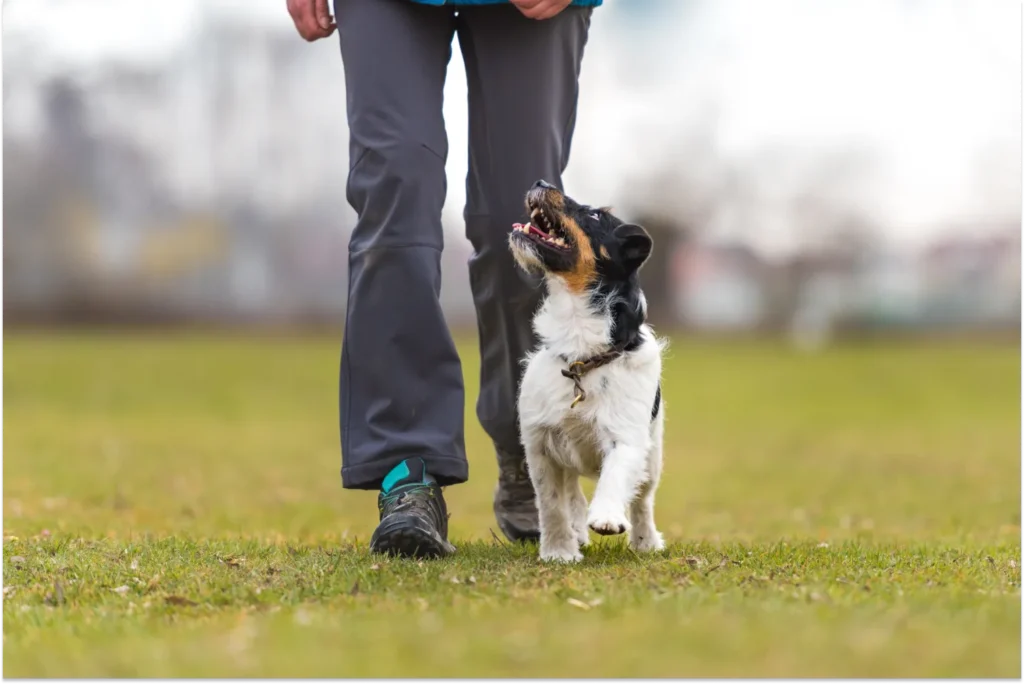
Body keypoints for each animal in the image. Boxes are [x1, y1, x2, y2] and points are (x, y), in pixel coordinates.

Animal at [509, 180, 667, 561]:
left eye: (595, 216)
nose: (541, 183)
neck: (582, 354)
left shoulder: (627, 437)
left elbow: (616, 477)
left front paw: (607, 517)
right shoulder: (540, 445)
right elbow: (552, 504)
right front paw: (558, 551)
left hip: (653, 453)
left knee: (643, 501)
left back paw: (645, 542)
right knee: (572, 494)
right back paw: (578, 532)